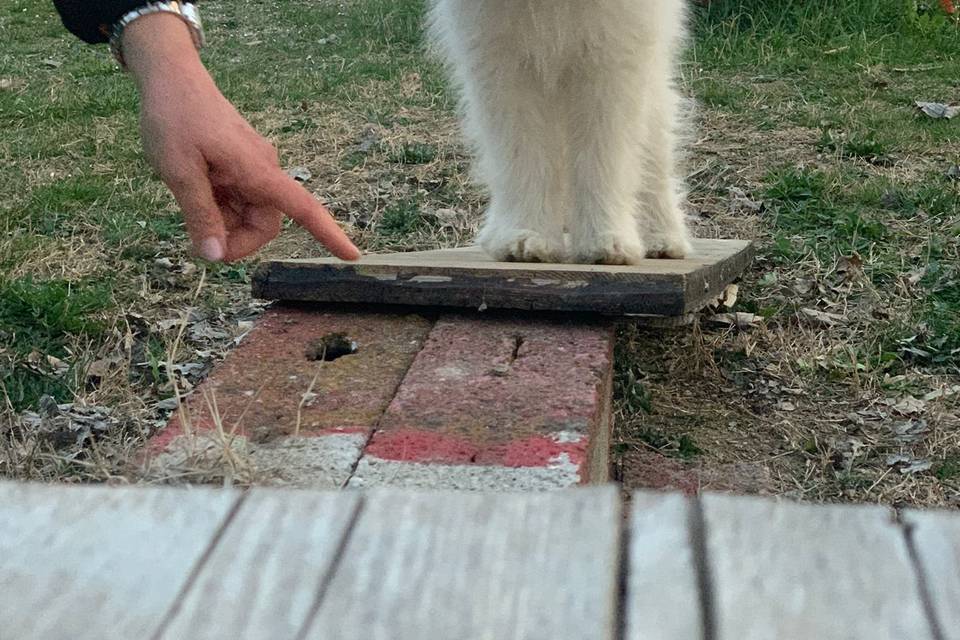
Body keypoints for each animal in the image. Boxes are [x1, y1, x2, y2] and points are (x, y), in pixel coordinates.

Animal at [428, 0, 688, 264]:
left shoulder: (610, 62)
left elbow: (602, 160)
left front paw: (605, 241)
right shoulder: (506, 69)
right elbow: (523, 159)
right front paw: (525, 238)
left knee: (655, 158)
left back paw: (663, 239)